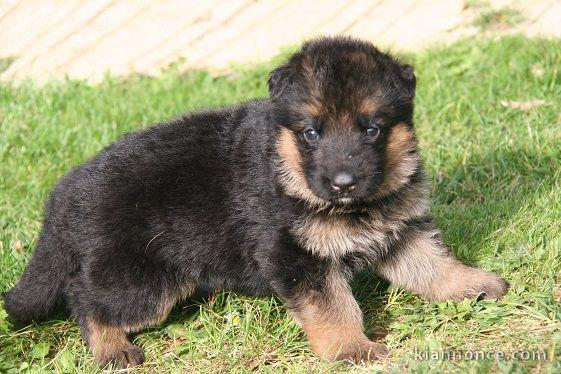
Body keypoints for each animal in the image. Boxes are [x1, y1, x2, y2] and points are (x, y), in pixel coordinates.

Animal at [3, 37, 508, 366]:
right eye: (311, 133)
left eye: (372, 129)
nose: (343, 183)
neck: (290, 171)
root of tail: (65, 194)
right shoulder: (296, 256)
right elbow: (334, 307)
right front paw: (351, 348)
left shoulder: (398, 230)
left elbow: (433, 264)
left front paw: (470, 284)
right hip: (140, 280)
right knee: (84, 298)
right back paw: (111, 347)